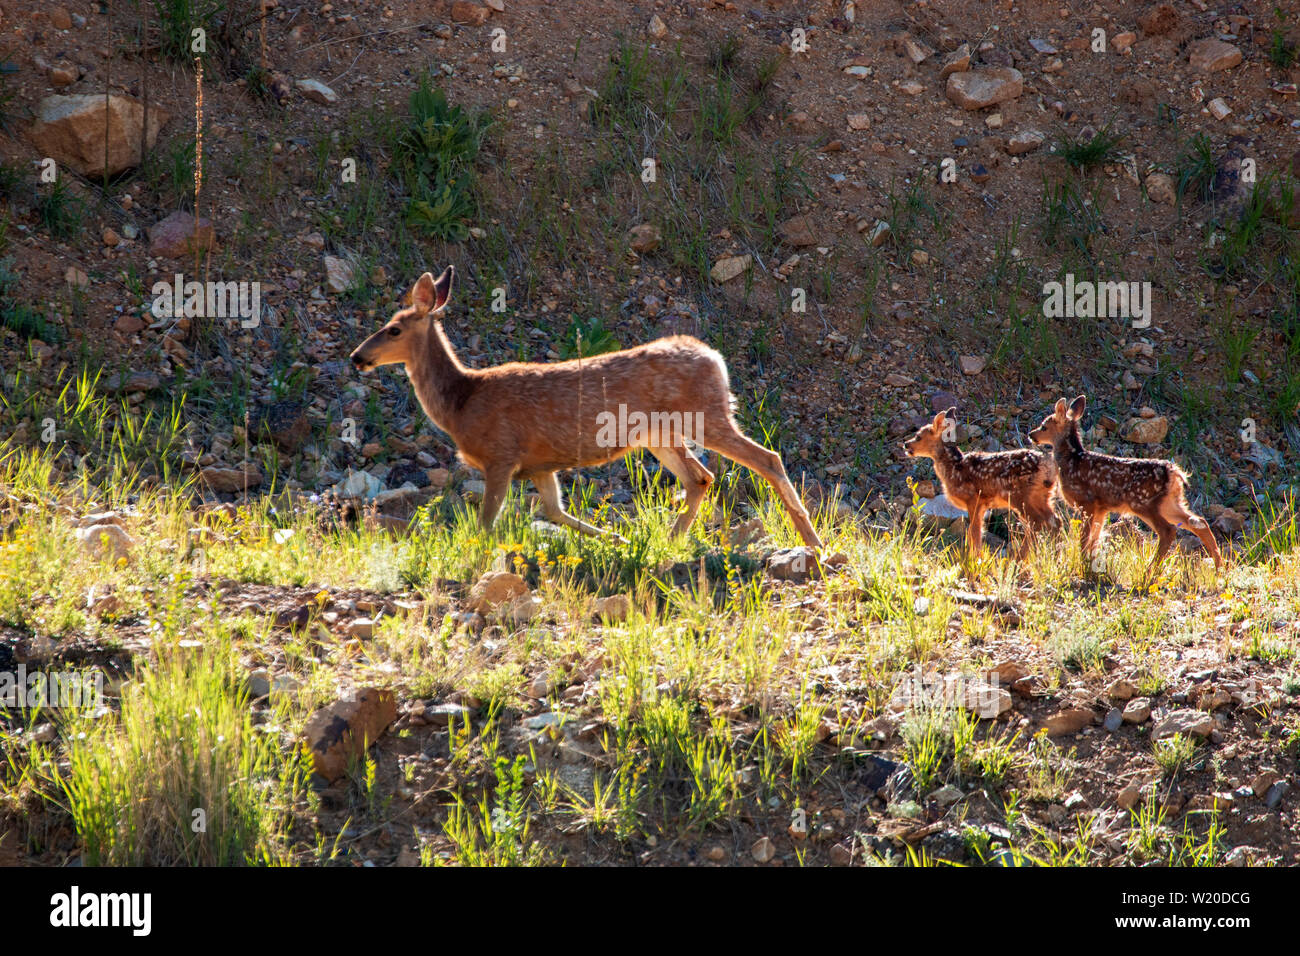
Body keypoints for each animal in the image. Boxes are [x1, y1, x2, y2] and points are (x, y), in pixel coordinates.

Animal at [348, 269, 821, 548]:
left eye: (393, 329)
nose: (356, 357)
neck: (461, 401)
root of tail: (716, 359)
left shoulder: (501, 455)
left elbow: (487, 523)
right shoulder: (539, 465)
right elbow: (555, 512)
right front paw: (619, 540)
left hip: (706, 415)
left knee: (766, 458)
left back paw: (811, 540)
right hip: (660, 434)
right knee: (701, 478)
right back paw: (669, 540)